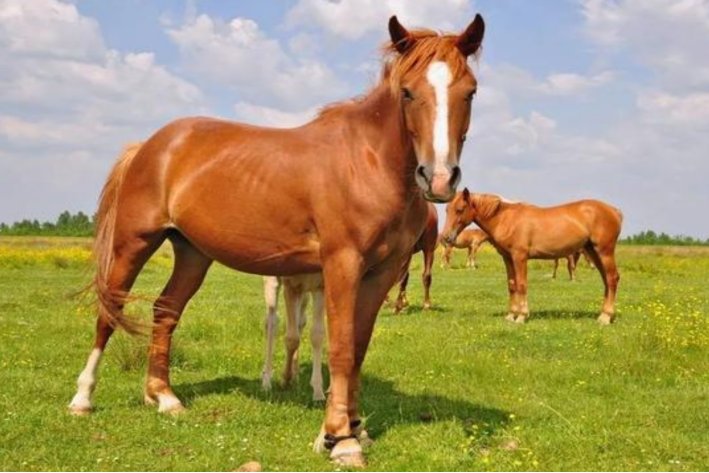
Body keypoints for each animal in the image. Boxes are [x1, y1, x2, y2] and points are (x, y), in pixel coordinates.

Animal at [68, 14, 485, 466]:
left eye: (470, 91)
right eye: (407, 91)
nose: (439, 179)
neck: (366, 162)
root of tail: (149, 146)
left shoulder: (382, 272)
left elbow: (358, 346)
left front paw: (353, 428)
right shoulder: (342, 265)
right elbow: (340, 346)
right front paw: (341, 439)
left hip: (193, 253)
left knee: (166, 310)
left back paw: (163, 397)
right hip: (134, 242)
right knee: (109, 312)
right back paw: (83, 398)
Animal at [441, 189, 622, 325]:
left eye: (459, 209)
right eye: (447, 209)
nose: (446, 237)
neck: (506, 219)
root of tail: (615, 211)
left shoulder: (519, 257)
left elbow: (522, 284)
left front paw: (521, 316)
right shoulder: (508, 258)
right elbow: (512, 285)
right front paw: (511, 315)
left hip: (604, 252)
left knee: (612, 278)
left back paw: (606, 317)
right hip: (593, 252)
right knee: (606, 280)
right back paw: (603, 315)